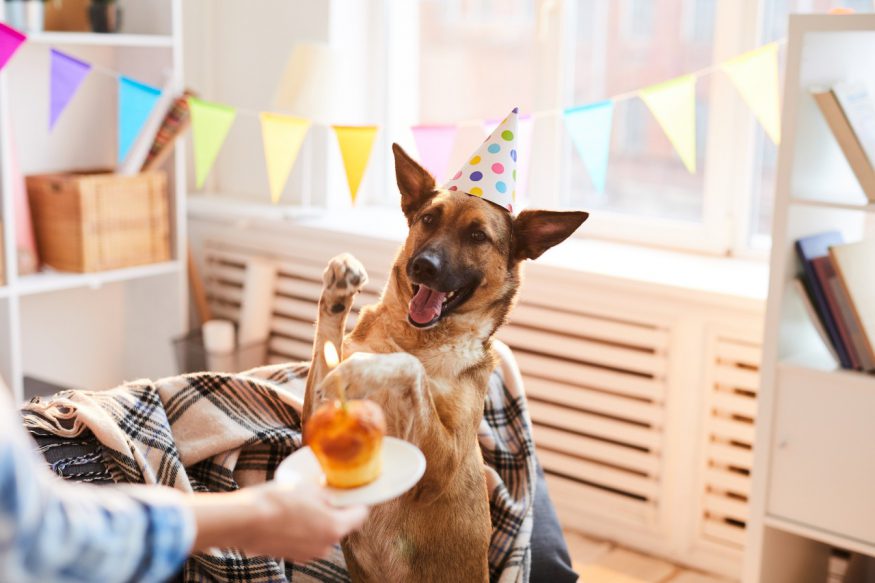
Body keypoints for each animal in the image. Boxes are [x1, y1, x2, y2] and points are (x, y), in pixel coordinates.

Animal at [302, 145, 588, 583]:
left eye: (477, 236)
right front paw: (337, 293)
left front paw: (372, 366)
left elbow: (410, 369)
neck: (419, 338)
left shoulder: (440, 465)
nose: (423, 266)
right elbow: (328, 341)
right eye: (428, 219)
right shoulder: (317, 419)